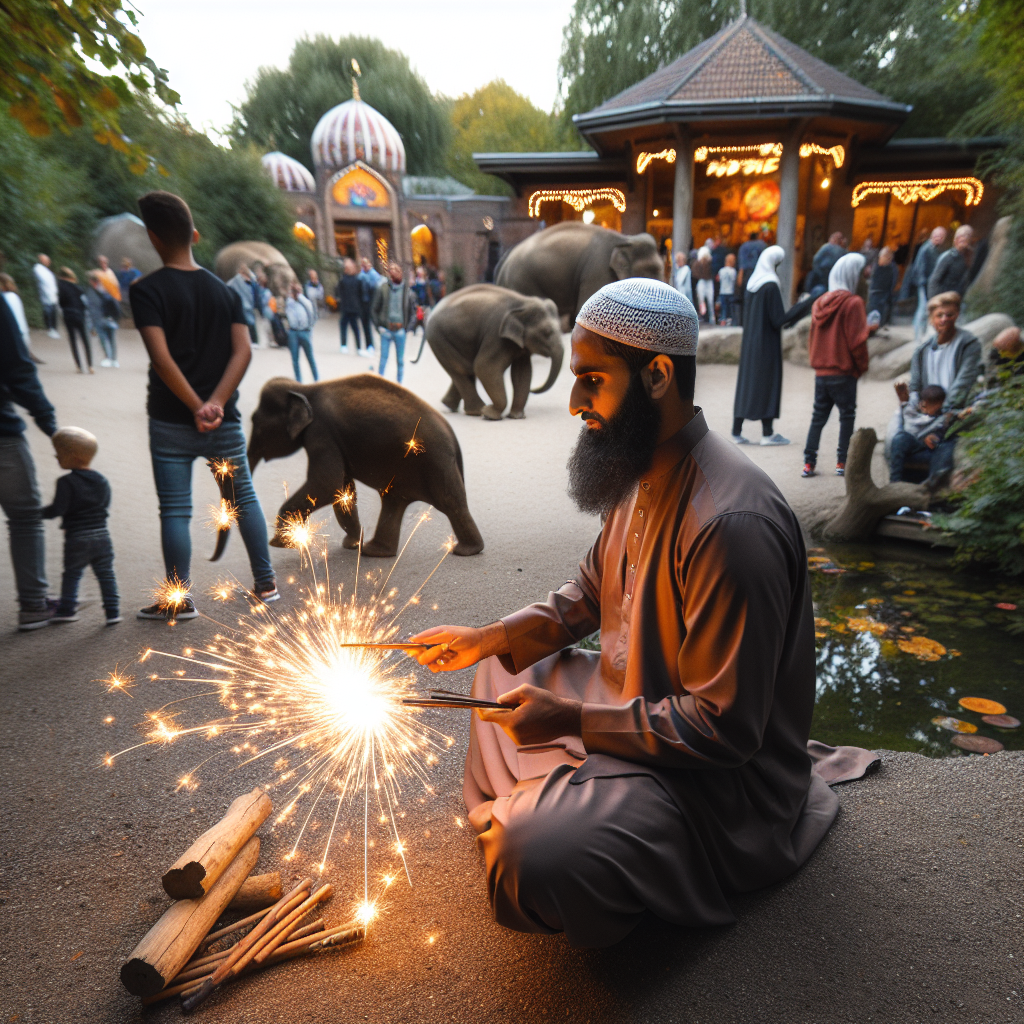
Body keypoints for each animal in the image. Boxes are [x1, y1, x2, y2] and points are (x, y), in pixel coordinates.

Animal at [247, 374, 487, 557]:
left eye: (256, 425)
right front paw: (352, 544)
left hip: (437, 463)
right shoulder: (332, 439)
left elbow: (327, 483)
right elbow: (342, 489)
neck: (303, 388)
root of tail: (453, 436)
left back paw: (466, 551)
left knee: (450, 502)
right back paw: (373, 551)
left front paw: (280, 542)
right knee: (394, 502)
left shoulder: (321, 432)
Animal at [423, 282, 569, 417]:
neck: (523, 302)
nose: (534, 389)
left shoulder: (518, 344)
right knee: (460, 370)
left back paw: (451, 406)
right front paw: (491, 413)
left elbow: (522, 372)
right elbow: (485, 366)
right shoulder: (496, 336)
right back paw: (478, 411)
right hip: (439, 338)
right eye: (546, 332)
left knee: (466, 370)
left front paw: (516, 416)